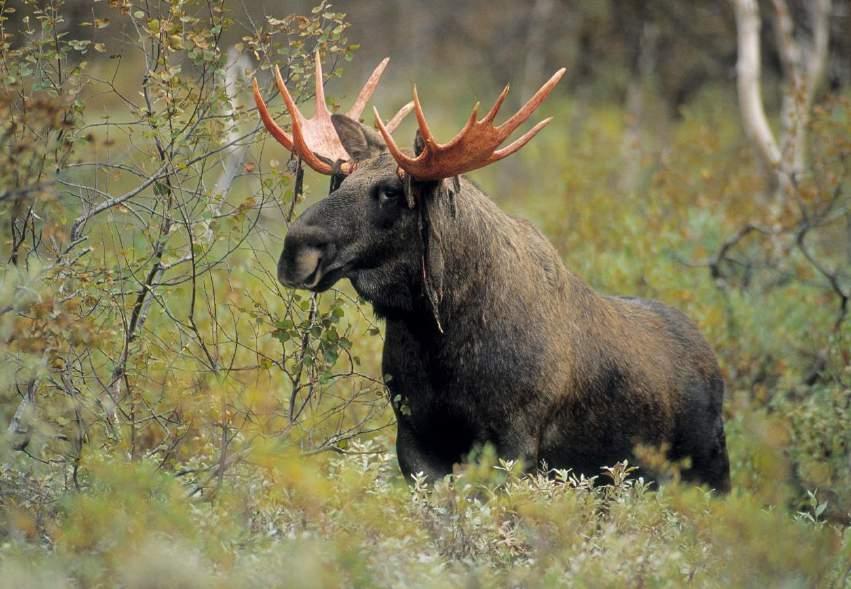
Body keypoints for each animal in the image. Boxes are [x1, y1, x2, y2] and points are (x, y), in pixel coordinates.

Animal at [253, 52, 732, 490]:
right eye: (341, 179)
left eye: (390, 191)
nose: (295, 250)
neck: (439, 339)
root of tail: (714, 365)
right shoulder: (415, 439)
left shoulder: (516, 439)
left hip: (710, 470)